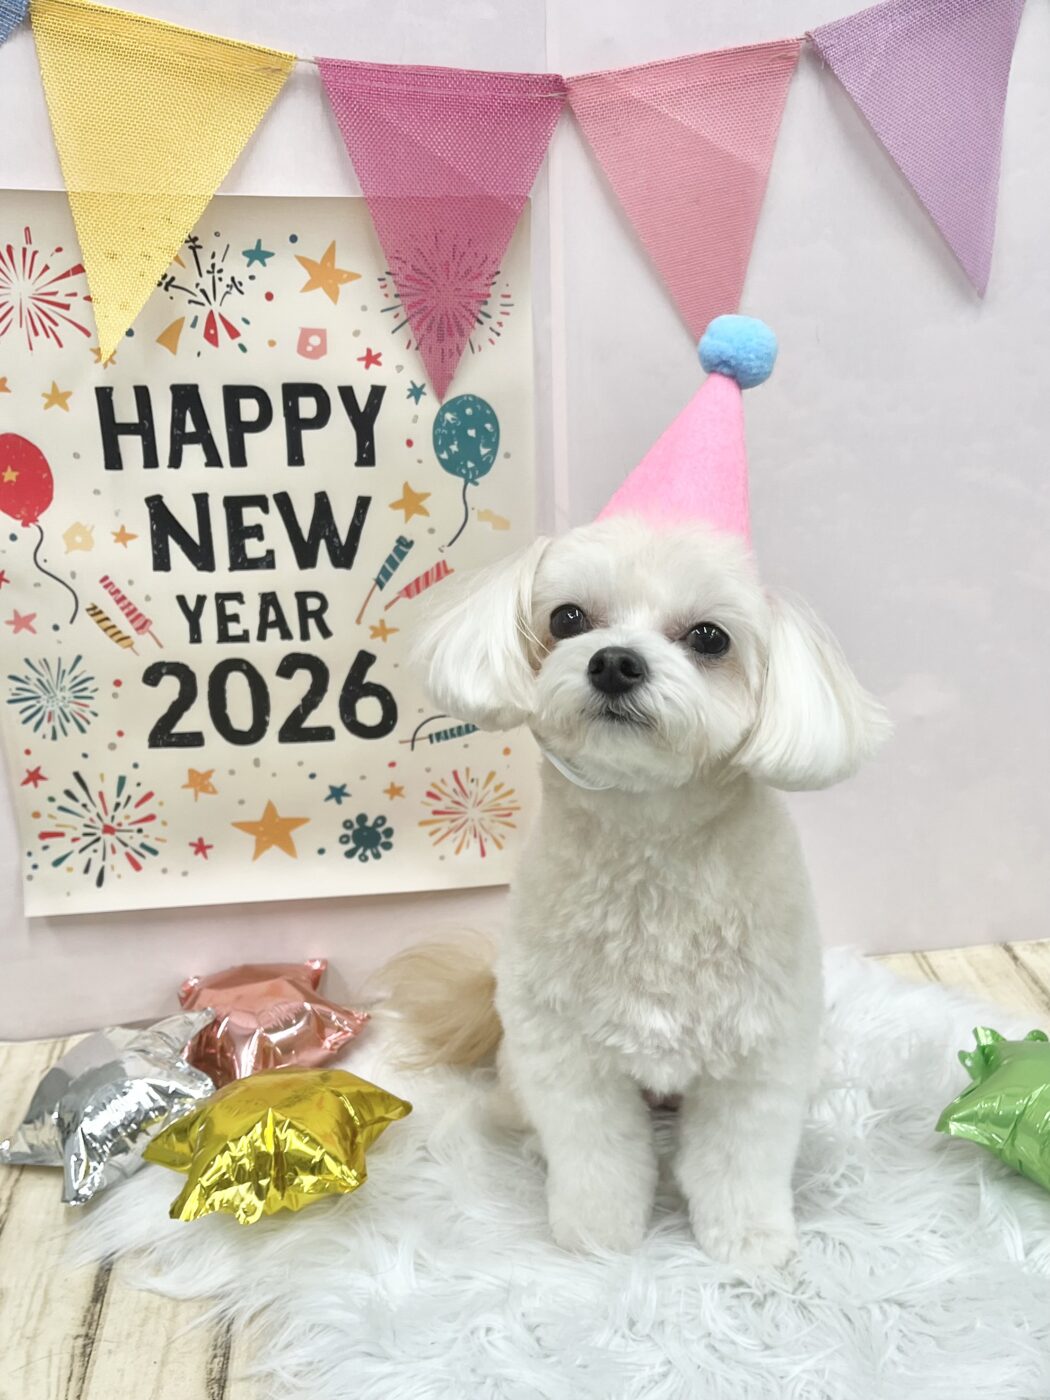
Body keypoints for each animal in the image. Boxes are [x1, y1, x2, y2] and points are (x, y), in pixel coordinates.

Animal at [382, 514, 889, 1269]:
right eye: (567, 618)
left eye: (710, 637)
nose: (615, 662)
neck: (651, 847)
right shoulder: (570, 1061)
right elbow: (599, 1158)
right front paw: (598, 1237)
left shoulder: (758, 1057)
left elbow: (739, 1162)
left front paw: (748, 1241)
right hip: (519, 1064)